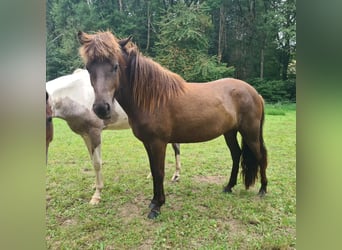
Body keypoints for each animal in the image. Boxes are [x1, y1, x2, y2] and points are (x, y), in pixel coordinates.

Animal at [47, 69, 183, 205]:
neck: (77, 94)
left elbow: (97, 163)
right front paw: (95, 186)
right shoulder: (85, 135)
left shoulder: (95, 133)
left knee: (175, 148)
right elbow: (93, 161)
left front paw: (97, 195)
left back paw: (176, 175)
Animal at [77, 30, 268, 219]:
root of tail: (255, 93)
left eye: (115, 66)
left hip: (250, 133)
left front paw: (157, 207)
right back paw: (229, 187)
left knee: (260, 156)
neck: (152, 99)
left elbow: (159, 172)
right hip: (230, 132)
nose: (101, 108)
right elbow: (153, 170)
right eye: (88, 68)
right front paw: (154, 201)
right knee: (236, 155)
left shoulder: (158, 143)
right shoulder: (148, 143)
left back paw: (263, 189)